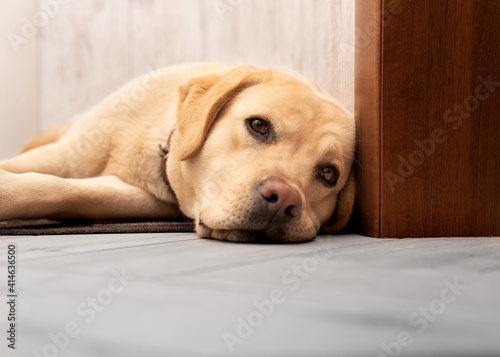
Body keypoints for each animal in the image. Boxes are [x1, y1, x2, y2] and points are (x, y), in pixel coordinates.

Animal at [1, 63, 358, 242]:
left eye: (329, 174)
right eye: (258, 125)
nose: (284, 198)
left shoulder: (141, 196)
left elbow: (65, 190)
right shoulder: (67, 154)